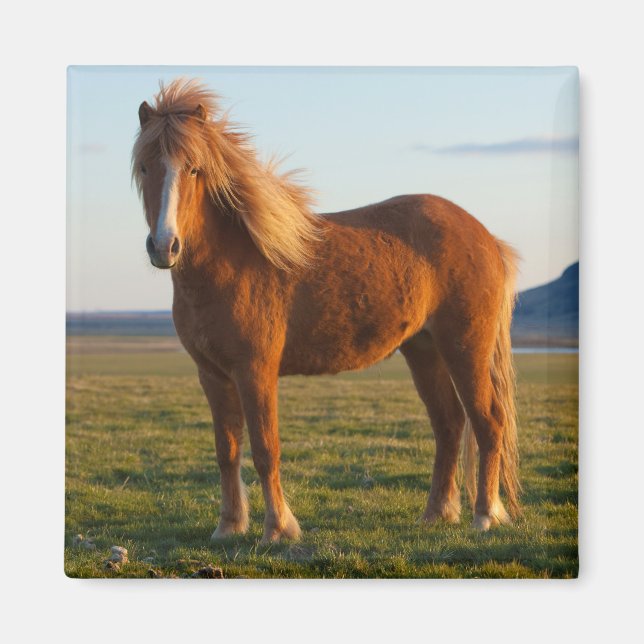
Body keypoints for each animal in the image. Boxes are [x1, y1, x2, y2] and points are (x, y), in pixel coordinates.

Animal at [132, 79, 521, 543]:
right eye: (144, 168)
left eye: (193, 169)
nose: (164, 246)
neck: (230, 262)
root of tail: (484, 235)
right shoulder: (211, 374)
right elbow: (227, 450)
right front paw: (228, 526)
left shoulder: (255, 371)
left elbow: (265, 449)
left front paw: (278, 529)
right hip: (424, 350)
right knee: (449, 424)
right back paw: (438, 513)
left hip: (466, 349)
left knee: (488, 423)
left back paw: (485, 515)